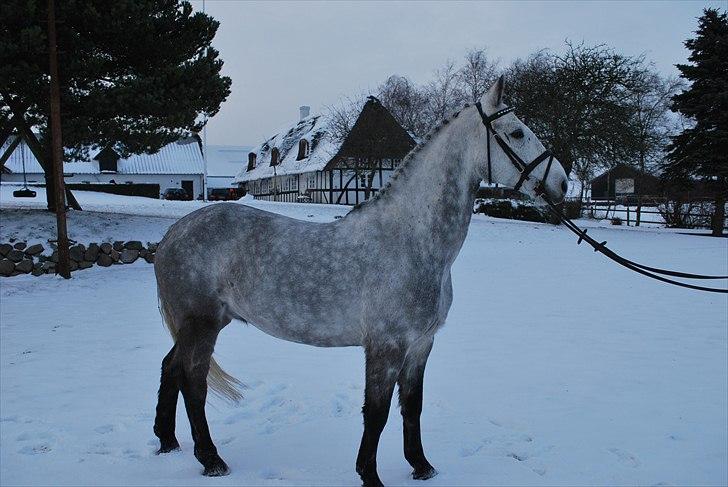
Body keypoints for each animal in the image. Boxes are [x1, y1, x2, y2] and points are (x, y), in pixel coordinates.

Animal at [152, 78, 568, 486]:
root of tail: (171, 235)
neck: (412, 240)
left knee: (171, 367)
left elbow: (412, 407)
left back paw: (167, 441)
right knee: (193, 381)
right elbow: (377, 412)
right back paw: (211, 459)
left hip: (201, 324)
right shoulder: (386, 346)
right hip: (202, 323)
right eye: (516, 132)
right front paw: (370, 475)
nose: (562, 183)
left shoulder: (421, 345)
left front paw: (422, 466)